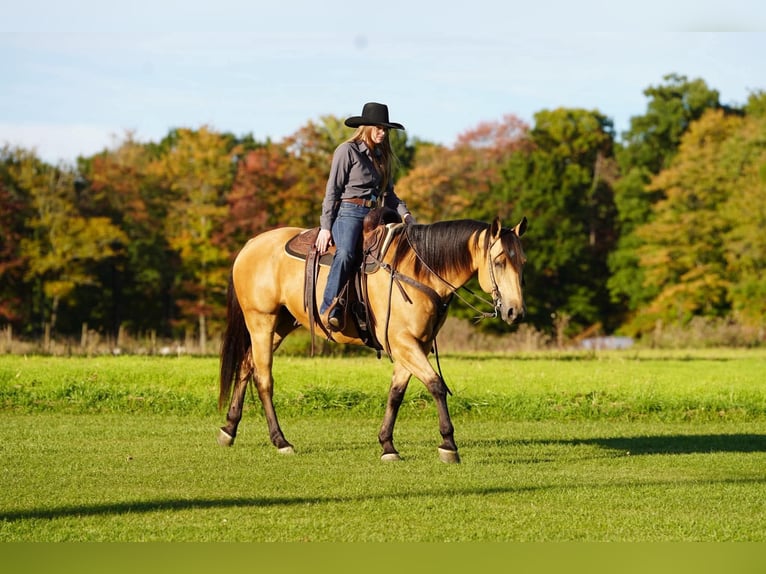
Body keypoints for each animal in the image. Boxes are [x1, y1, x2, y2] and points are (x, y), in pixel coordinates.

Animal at [218, 214, 528, 463]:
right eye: (500, 261)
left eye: (522, 262)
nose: (516, 312)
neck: (418, 271)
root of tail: (251, 244)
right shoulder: (404, 343)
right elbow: (436, 385)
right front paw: (448, 444)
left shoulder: (414, 345)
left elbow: (396, 393)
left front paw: (387, 445)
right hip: (261, 321)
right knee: (263, 378)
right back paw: (280, 440)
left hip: (279, 324)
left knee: (245, 366)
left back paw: (229, 429)